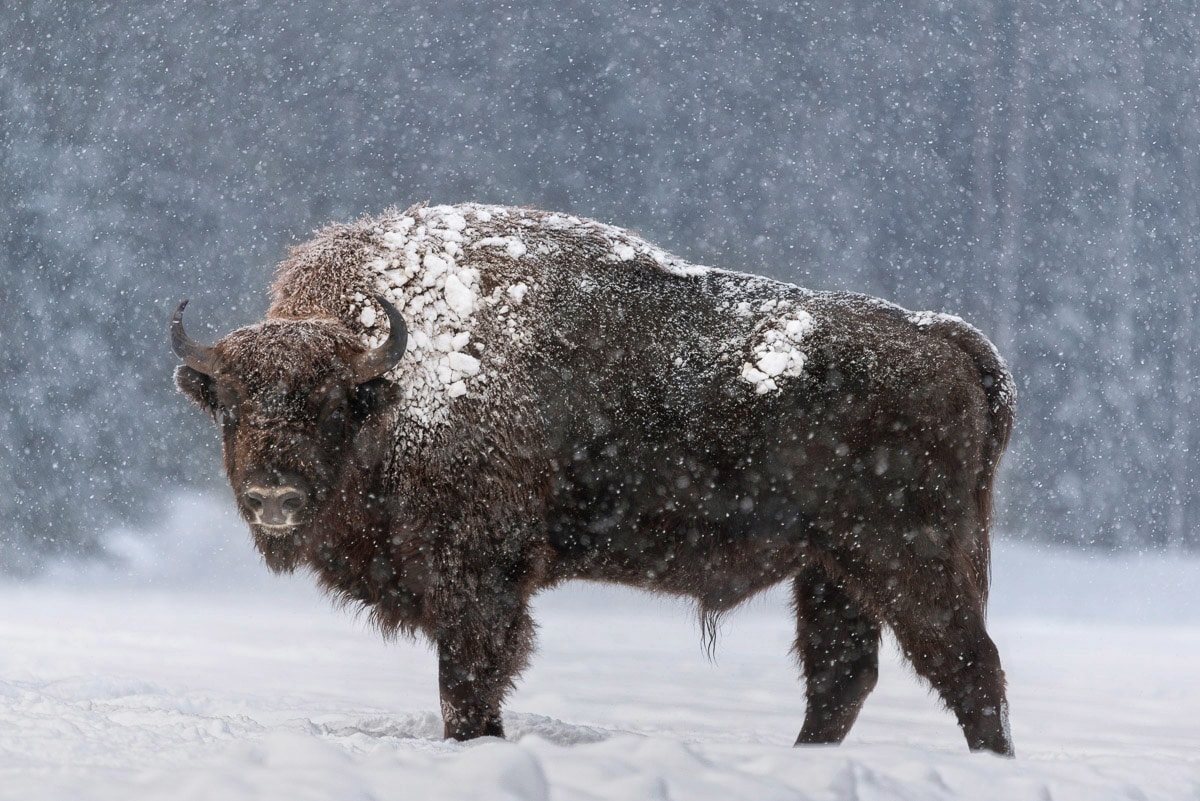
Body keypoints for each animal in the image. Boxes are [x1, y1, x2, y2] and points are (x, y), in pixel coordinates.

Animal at [169, 203, 1012, 753]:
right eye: (231, 404)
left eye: (329, 401)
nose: (273, 495)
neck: (396, 382)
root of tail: (941, 335)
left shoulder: (478, 585)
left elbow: (467, 687)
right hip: (833, 569)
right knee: (843, 677)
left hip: (907, 555)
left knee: (969, 667)